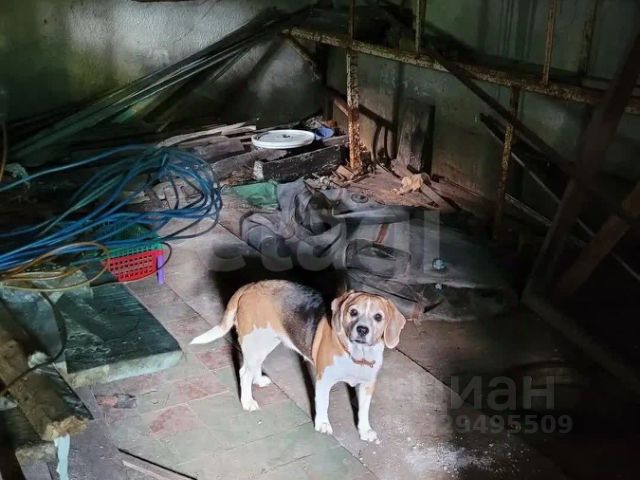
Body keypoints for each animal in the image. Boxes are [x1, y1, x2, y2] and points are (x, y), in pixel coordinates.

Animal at [190, 280, 407, 443]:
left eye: (378, 317)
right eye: (353, 312)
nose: (362, 329)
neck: (356, 354)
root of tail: (251, 286)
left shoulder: (367, 385)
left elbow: (363, 410)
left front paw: (365, 430)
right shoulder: (323, 380)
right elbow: (323, 403)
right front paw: (322, 424)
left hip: (267, 342)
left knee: (253, 368)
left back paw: (258, 380)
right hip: (255, 342)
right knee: (244, 373)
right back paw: (247, 401)